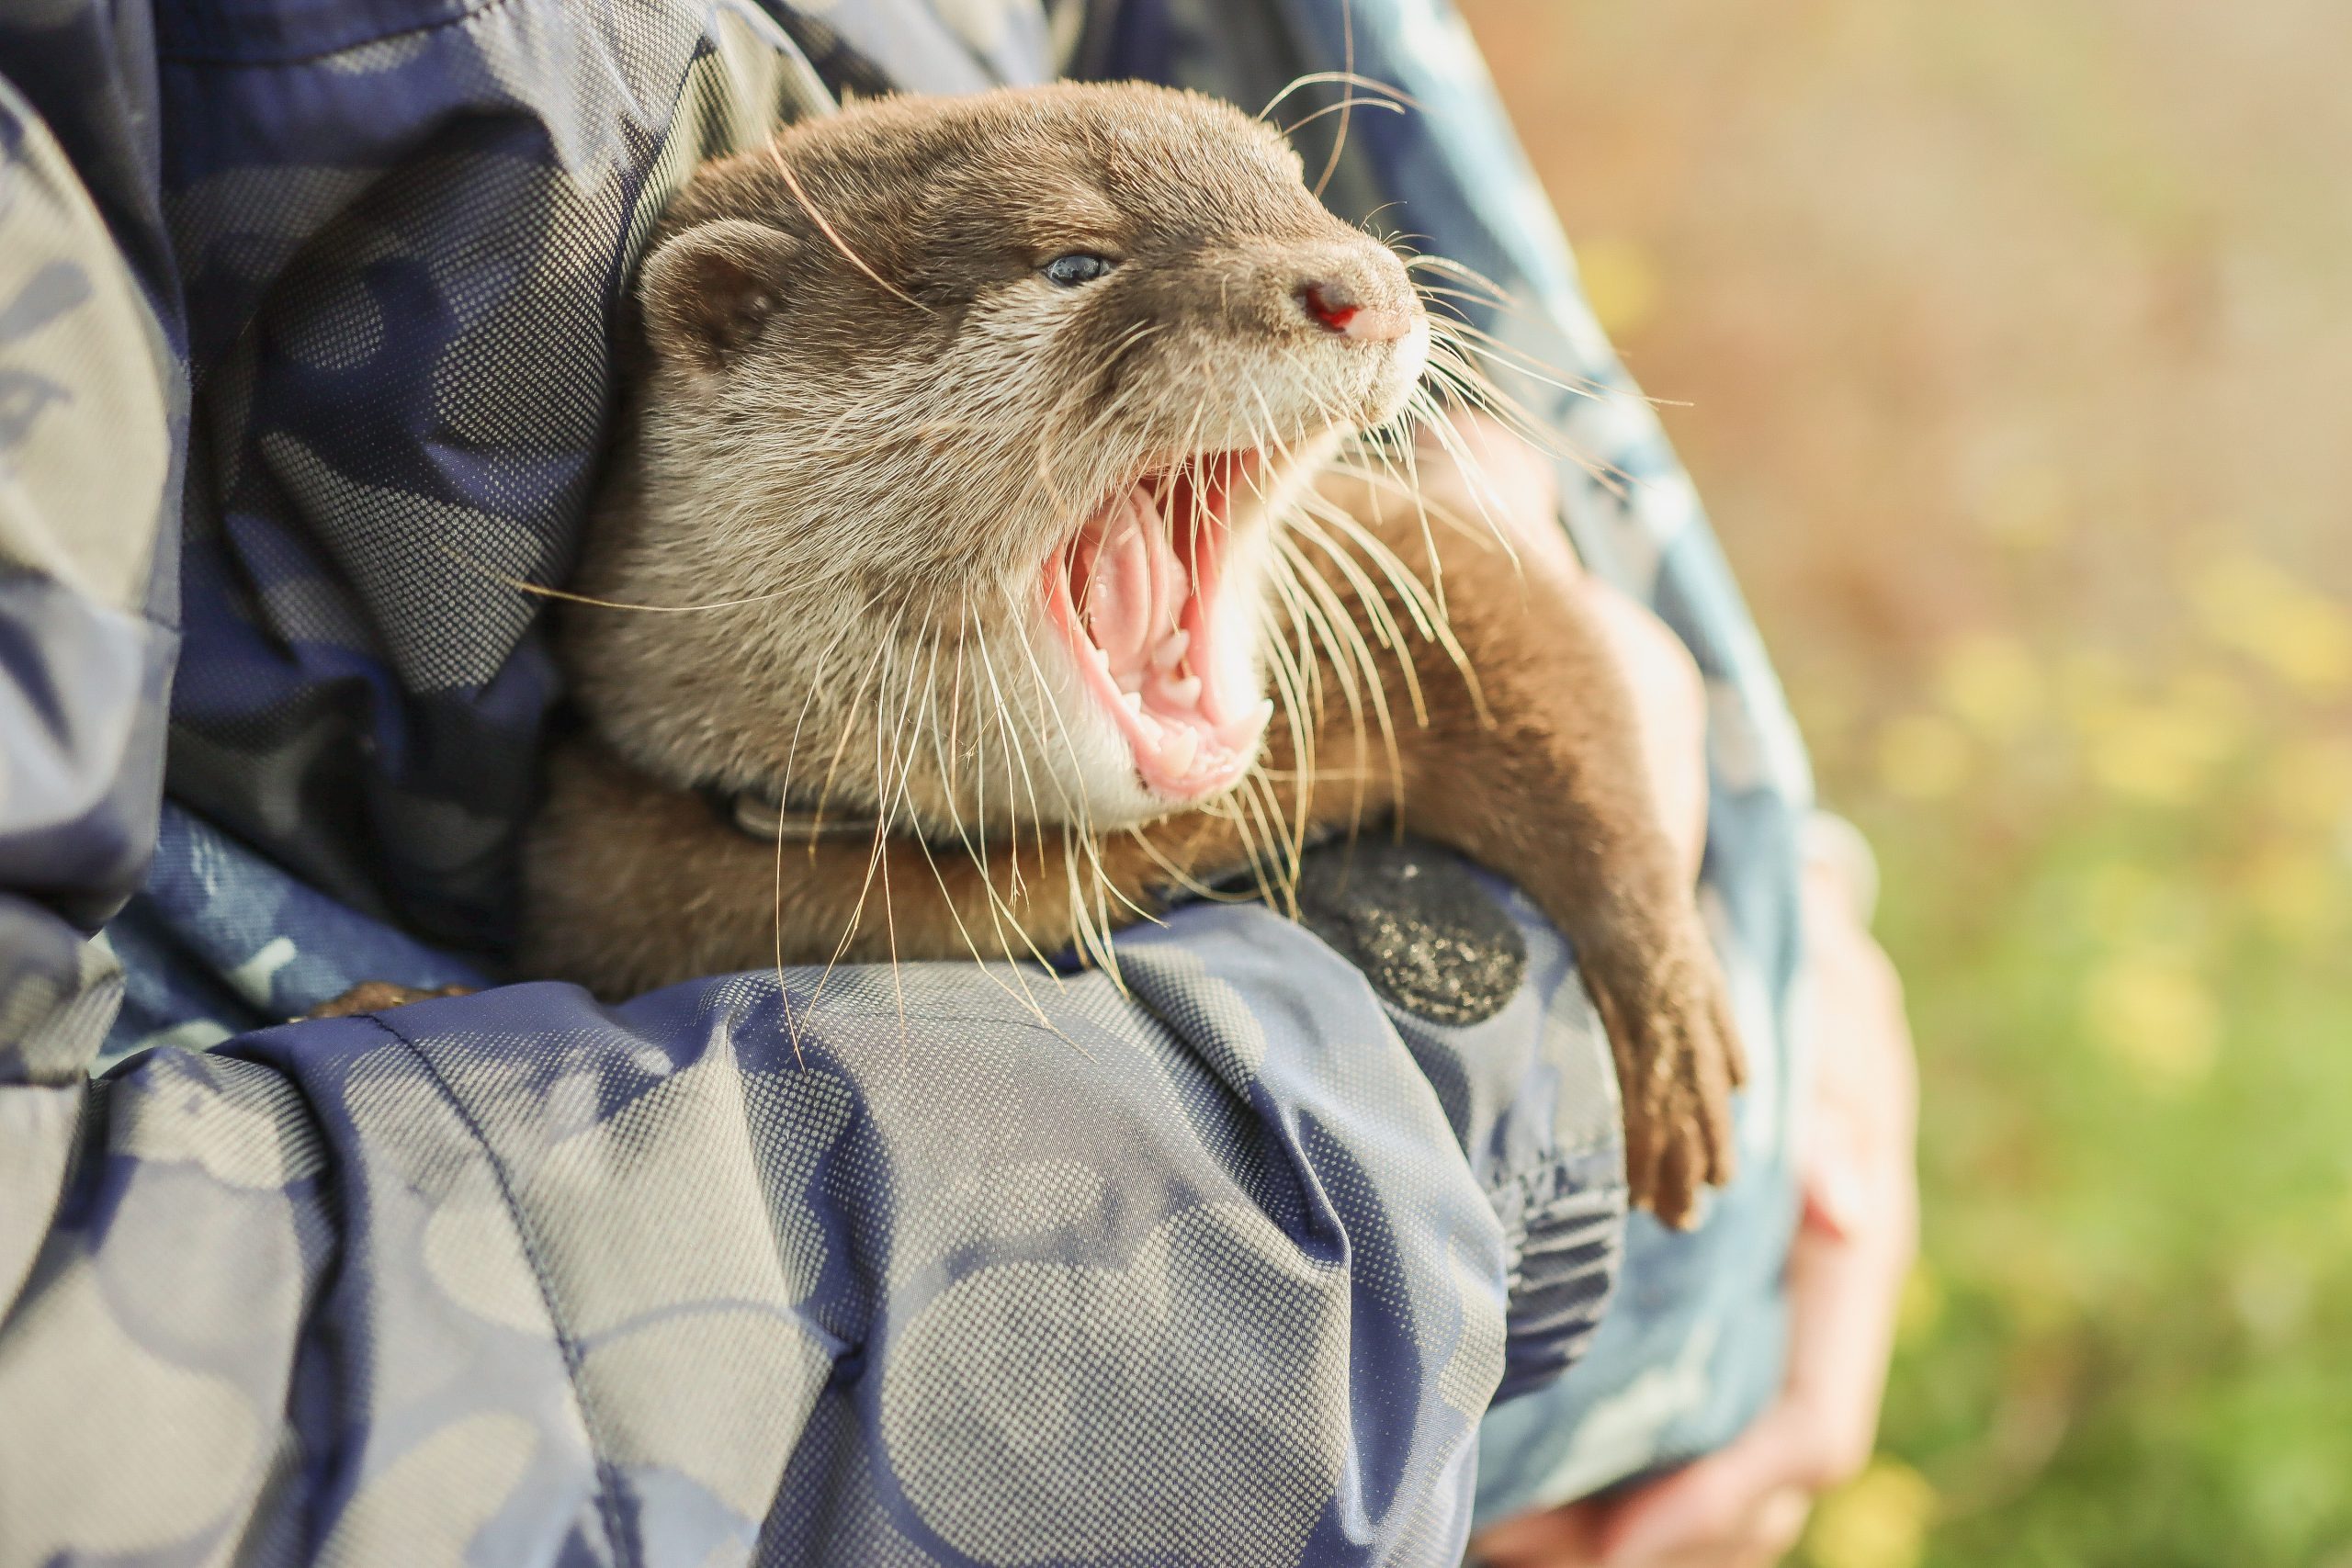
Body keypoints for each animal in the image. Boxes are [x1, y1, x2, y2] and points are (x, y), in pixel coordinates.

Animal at [371, 80, 1749, 1222]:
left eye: (1295, 191)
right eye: (1073, 262)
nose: (1356, 282)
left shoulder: (1412, 558)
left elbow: (1561, 677)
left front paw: (1675, 1022)